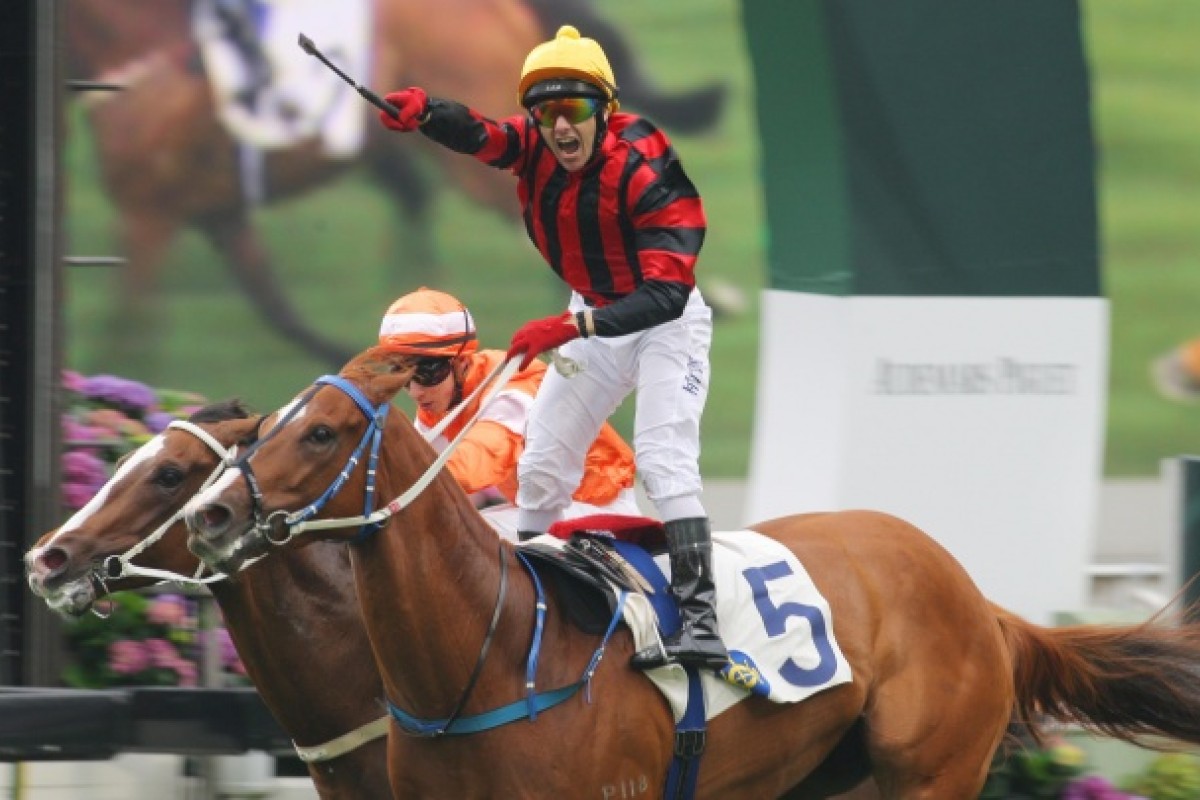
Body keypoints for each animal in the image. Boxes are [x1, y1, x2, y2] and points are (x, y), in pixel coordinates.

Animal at [184, 345, 1200, 800]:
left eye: (321, 433)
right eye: (262, 429)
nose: (209, 515)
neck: (485, 659)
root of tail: (979, 600)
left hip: (929, 773)